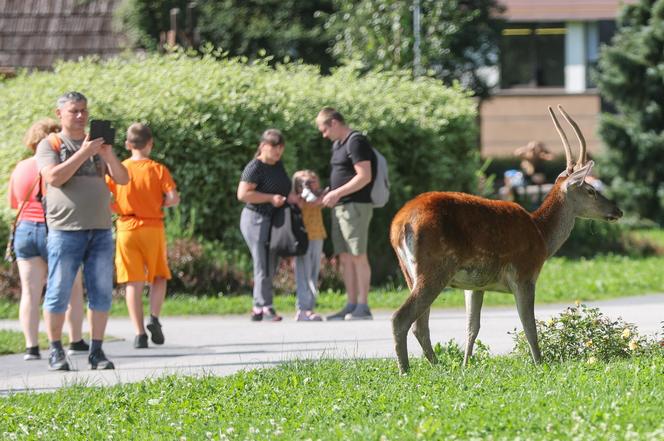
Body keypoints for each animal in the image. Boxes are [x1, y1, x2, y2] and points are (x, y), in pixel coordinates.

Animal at [390, 105, 624, 372]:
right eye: (591, 190)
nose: (618, 210)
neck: (542, 235)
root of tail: (400, 225)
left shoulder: (475, 285)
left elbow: (472, 327)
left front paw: (465, 366)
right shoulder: (524, 273)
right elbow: (529, 325)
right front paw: (540, 363)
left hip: (410, 271)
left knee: (420, 324)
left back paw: (437, 366)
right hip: (436, 266)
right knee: (401, 318)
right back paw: (407, 370)